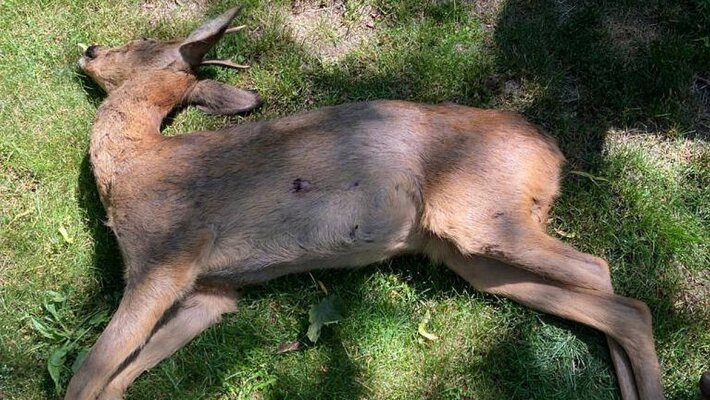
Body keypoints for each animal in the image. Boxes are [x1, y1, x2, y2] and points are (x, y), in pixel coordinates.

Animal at [67, 6, 665, 400]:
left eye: (142, 39)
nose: (89, 50)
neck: (132, 165)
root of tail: (553, 154)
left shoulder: (167, 255)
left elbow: (87, 373)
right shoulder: (213, 291)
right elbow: (116, 380)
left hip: (482, 217)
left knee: (607, 277)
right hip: (469, 257)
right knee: (612, 300)